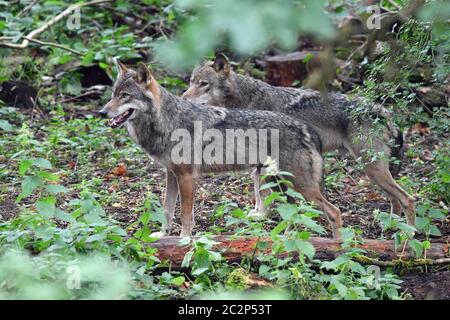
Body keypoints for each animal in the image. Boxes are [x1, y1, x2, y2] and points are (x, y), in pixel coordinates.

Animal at [99, 60, 344, 238]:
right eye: (113, 94)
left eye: (125, 96)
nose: (102, 112)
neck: (166, 121)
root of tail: (307, 128)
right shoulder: (171, 174)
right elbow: (167, 210)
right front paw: (162, 235)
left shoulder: (187, 177)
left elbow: (185, 215)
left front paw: (183, 241)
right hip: (281, 185)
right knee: (293, 214)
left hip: (297, 186)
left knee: (335, 212)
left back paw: (337, 249)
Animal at [182, 53, 414, 228]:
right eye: (191, 82)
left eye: (203, 84)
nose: (183, 99)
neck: (244, 100)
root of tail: (382, 111)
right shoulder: (258, 164)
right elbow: (258, 192)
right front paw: (257, 215)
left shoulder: (264, 165)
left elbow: (262, 193)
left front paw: (262, 215)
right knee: (396, 199)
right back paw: (392, 227)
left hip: (372, 168)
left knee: (407, 198)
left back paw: (409, 235)